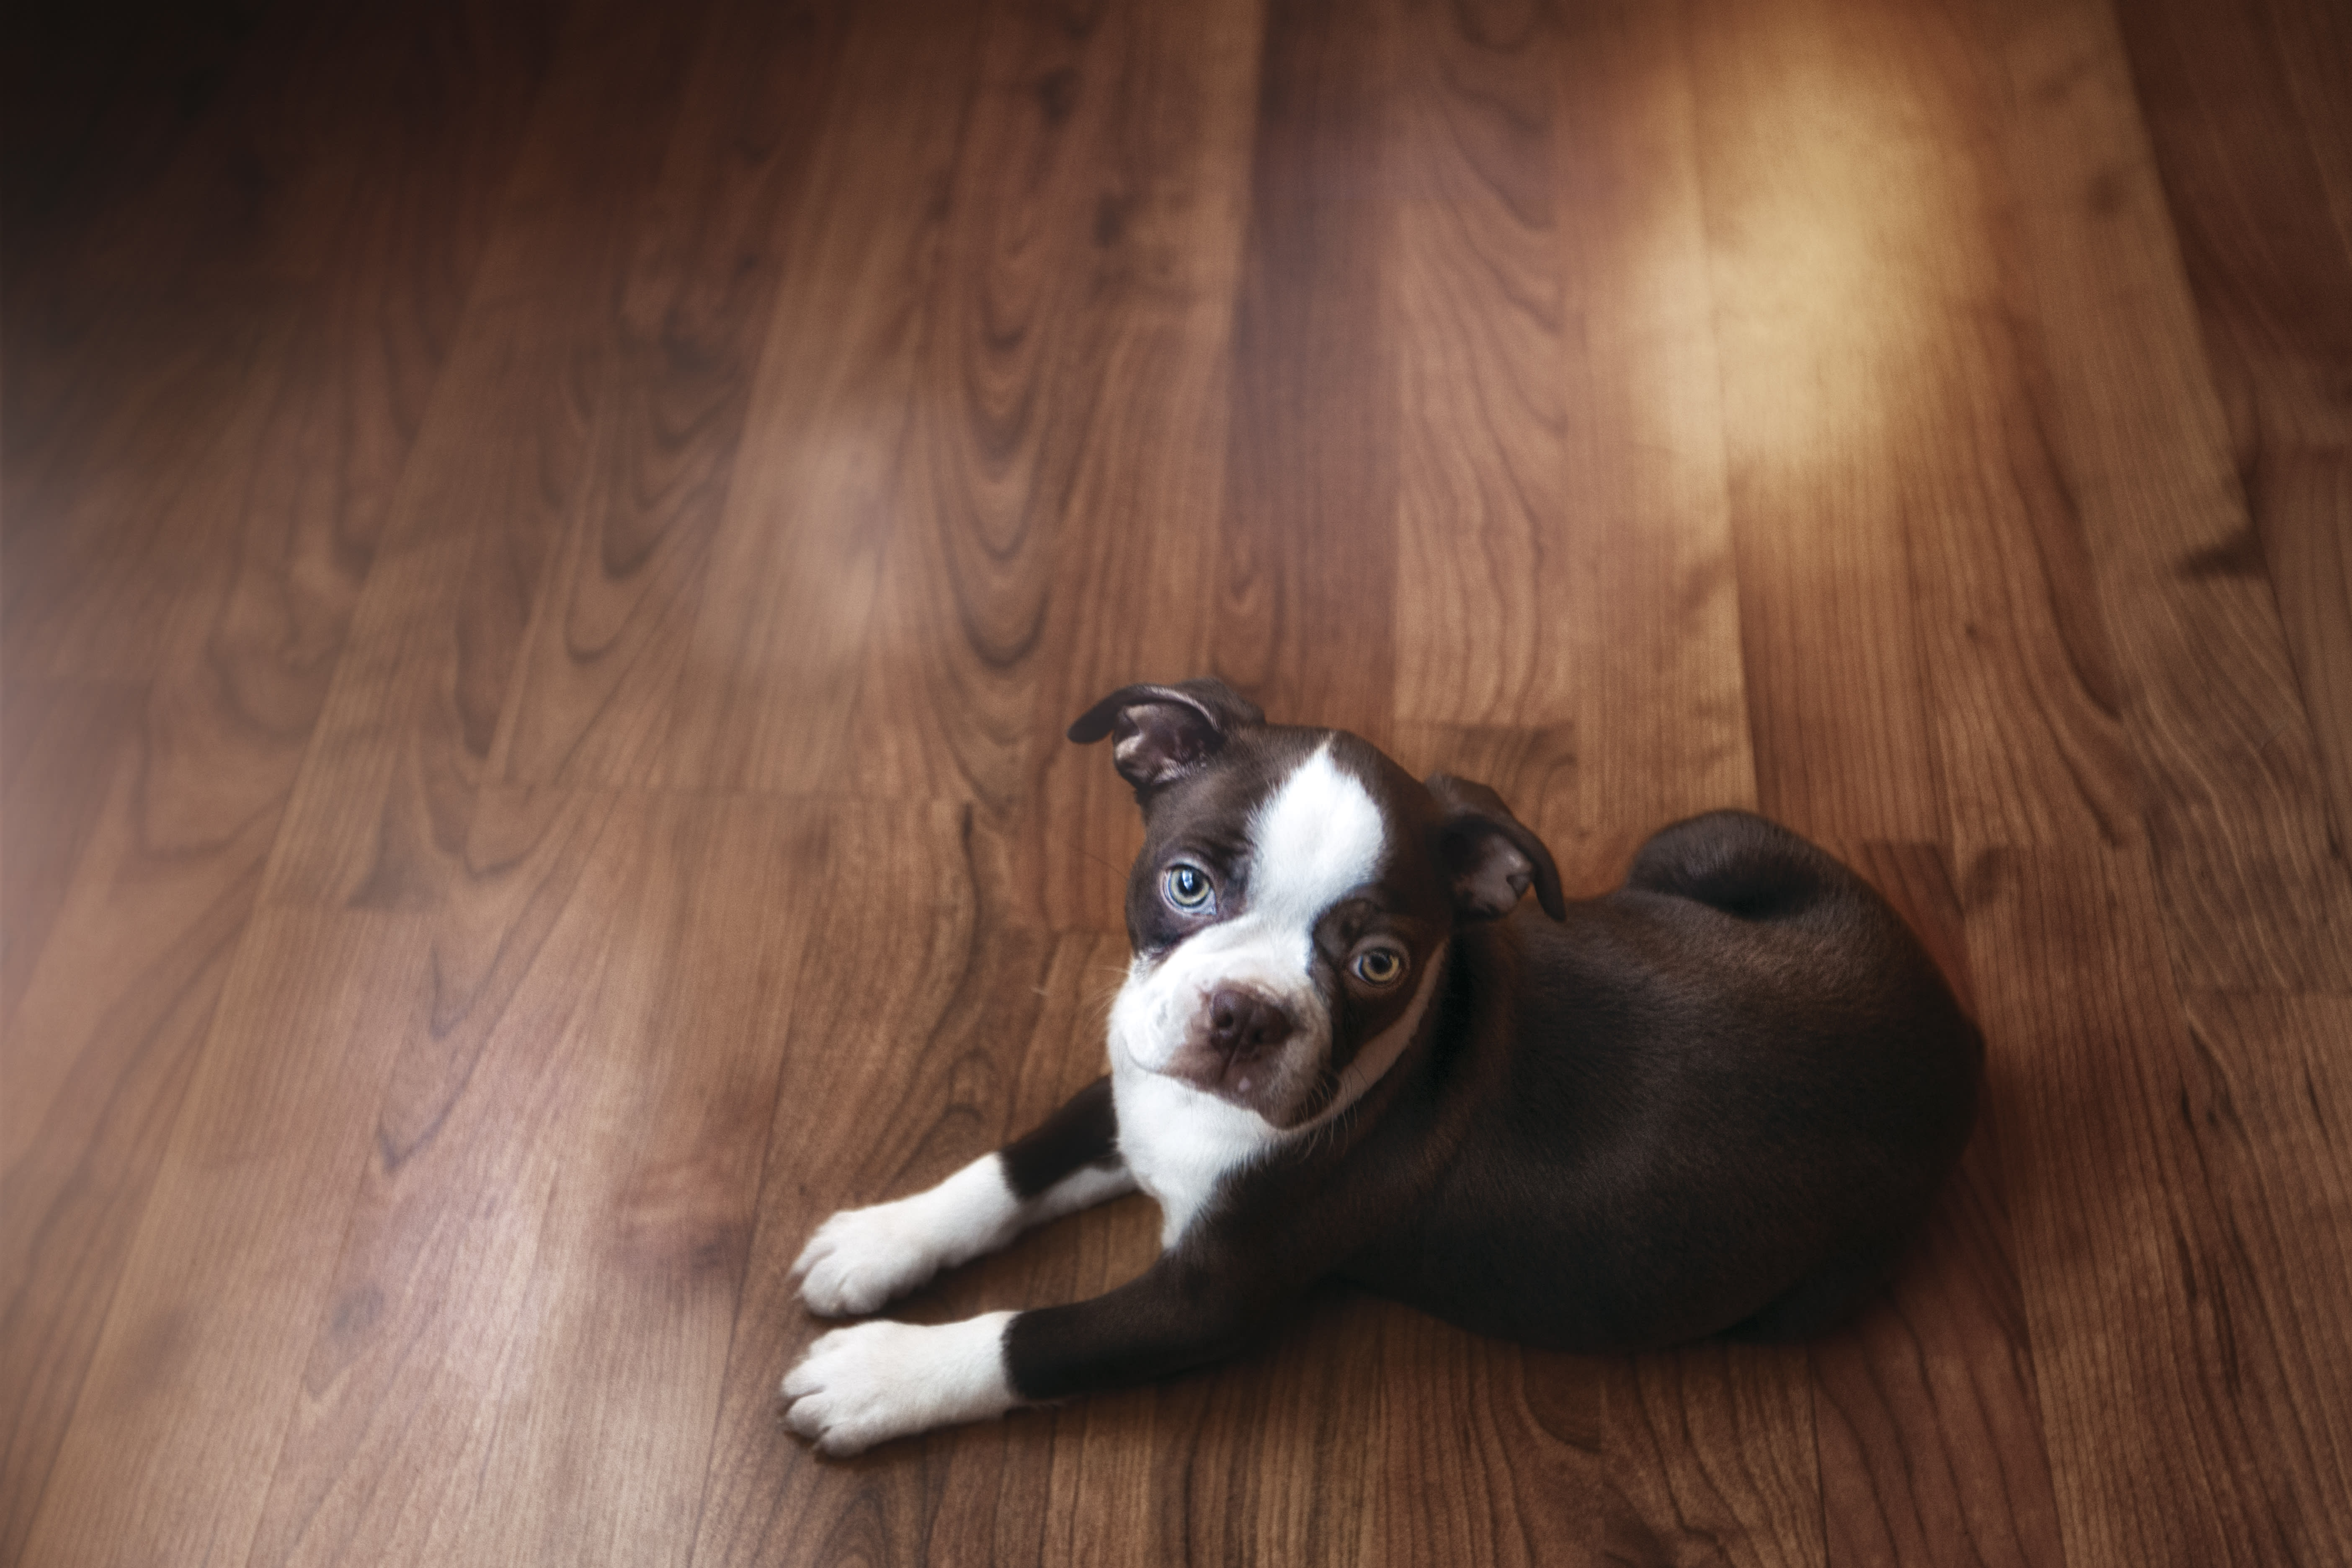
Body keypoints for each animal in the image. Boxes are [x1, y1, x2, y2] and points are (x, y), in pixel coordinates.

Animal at [785, 681, 1985, 1457]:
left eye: (1379, 963)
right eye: (1186, 883)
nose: (1245, 1016)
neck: (1205, 1121)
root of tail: (1956, 1038)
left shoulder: (1208, 1299)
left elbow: (1029, 1338)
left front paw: (876, 1375)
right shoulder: (1137, 1082)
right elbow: (1015, 1164)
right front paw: (879, 1241)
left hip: (1799, 1291)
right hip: (1708, 840)